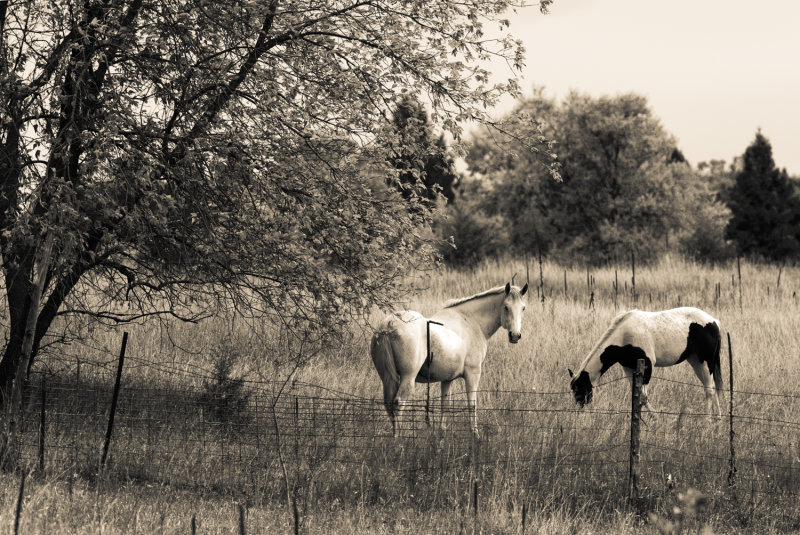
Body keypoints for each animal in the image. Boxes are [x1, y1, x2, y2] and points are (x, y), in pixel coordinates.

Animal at [372, 282, 528, 438]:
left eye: (523, 308)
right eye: (506, 307)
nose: (515, 335)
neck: (471, 321)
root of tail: (390, 324)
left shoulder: (447, 379)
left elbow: (445, 404)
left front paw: (442, 433)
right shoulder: (473, 374)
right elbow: (472, 404)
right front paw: (475, 435)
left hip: (387, 377)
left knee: (389, 404)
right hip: (407, 378)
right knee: (398, 403)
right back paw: (398, 438)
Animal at [568, 308, 724, 416]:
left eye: (581, 389)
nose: (580, 409)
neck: (624, 336)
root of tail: (714, 321)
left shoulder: (647, 367)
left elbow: (643, 397)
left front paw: (654, 419)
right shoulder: (629, 368)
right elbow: (636, 394)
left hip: (705, 362)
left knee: (709, 390)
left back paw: (708, 421)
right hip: (696, 361)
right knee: (712, 386)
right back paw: (718, 419)